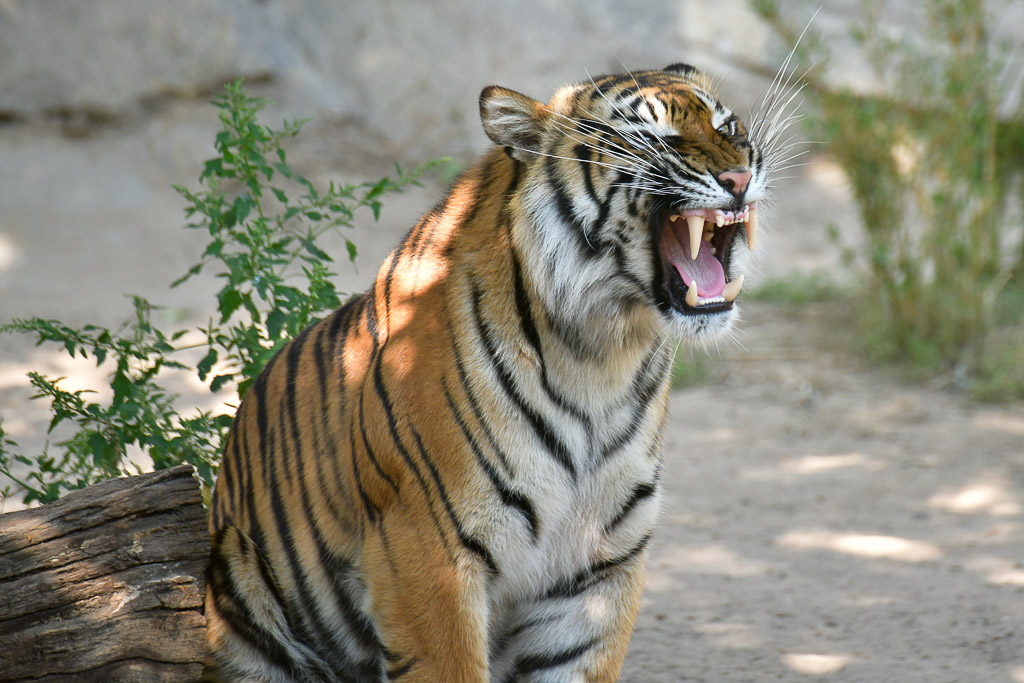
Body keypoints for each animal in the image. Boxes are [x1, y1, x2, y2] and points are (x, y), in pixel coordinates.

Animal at [205, 63, 780, 682]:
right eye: (654, 138)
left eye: (728, 126)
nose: (740, 177)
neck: (604, 355)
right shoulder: (427, 551)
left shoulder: (598, 570)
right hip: (239, 577)